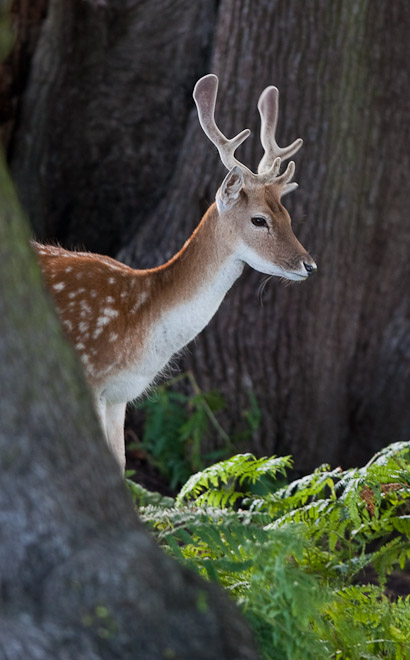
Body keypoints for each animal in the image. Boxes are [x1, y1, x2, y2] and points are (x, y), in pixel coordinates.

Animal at [34, 75, 318, 472]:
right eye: (259, 220)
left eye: (288, 216)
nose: (308, 264)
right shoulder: (87, 376)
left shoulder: (119, 395)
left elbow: (121, 465)